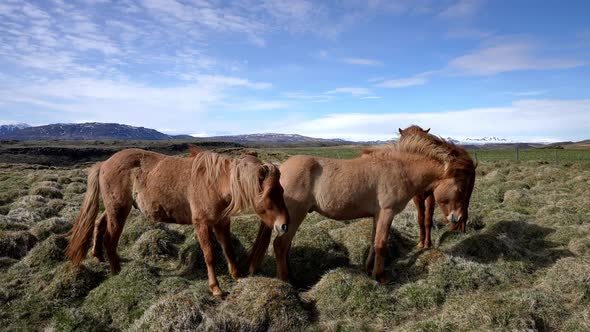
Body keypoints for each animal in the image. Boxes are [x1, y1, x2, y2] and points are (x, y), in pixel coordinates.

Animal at [67, 148, 292, 296]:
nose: (284, 226)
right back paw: (117, 273)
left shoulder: (221, 222)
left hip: (115, 209)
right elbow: (210, 255)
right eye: (269, 194)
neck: (215, 183)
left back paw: (98, 255)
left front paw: (237, 276)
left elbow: (228, 249)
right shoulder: (201, 223)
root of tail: (104, 163)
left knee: (99, 223)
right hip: (119, 210)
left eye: (281, 190)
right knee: (110, 240)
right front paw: (216, 288)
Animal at [247, 134, 478, 284]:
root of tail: (281, 170)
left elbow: (374, 242)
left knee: (285, 247)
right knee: (280, 246)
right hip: (295, 216)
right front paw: (381, 277)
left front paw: (369, 269)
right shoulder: (387, 212)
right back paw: (286, 282)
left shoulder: (378, 215)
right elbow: (381, 244)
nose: (458, 218)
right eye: (460, 187)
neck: (399, 168)